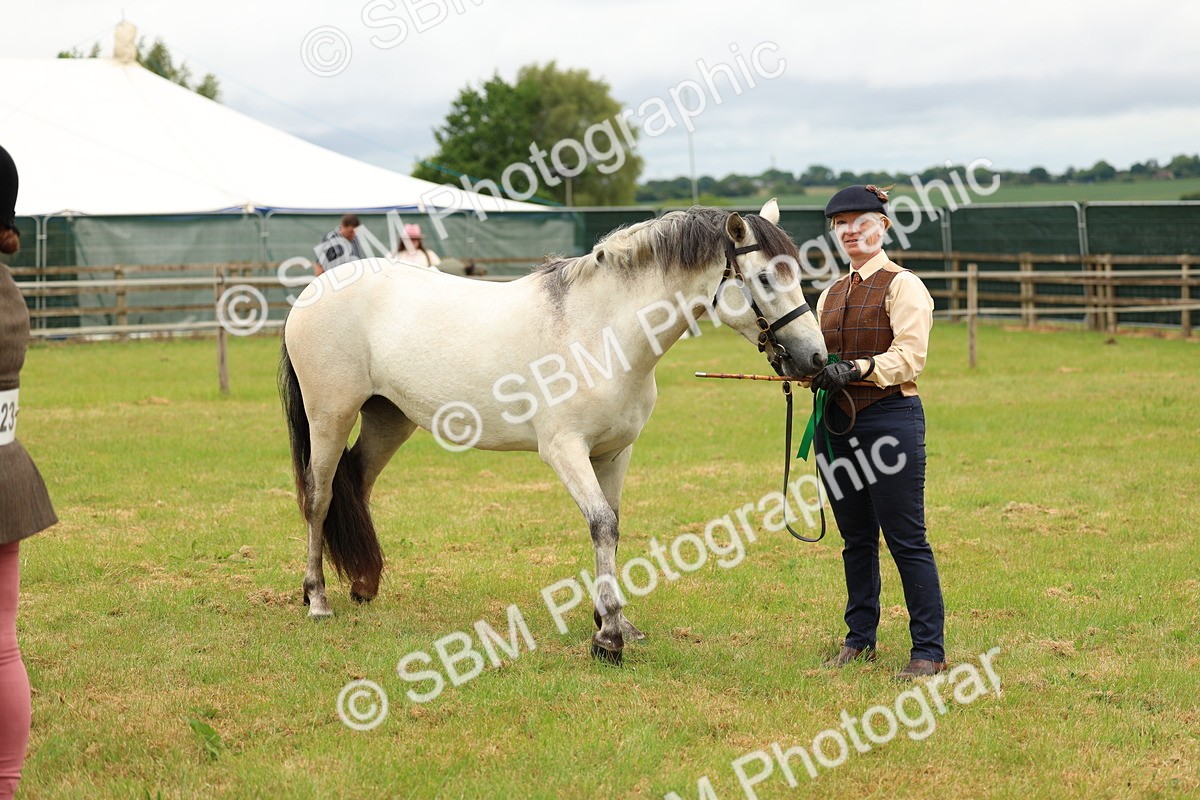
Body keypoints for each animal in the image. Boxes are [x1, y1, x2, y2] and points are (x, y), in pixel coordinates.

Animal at [278, 199, 828, 663]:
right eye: (765, 277)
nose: (815, 359)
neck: (601, 332)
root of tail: (315, 291)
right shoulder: (565, 451)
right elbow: (601, 524)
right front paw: (608, 638)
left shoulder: (614, 453)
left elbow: (613, 525)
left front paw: (615, 624)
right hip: (330, 417)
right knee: (320, 497)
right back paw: (318, 599)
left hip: (388, 419)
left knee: (358, 484)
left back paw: (363, 584)